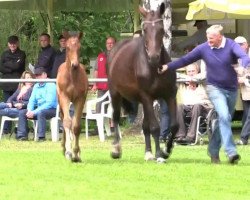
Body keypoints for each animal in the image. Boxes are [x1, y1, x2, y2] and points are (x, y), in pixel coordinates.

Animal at [107, 2, 178, 162]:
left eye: (161, 29)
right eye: (145, 30)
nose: (154, 57)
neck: (155, 68)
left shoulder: (170, 95)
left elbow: (174, 125)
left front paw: (166, 150)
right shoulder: (147, 96)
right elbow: (155, 127)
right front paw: (159, 154)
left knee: (145, 126)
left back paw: (148, 152)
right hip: (116, 94)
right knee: (116, 117)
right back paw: (116, 149)